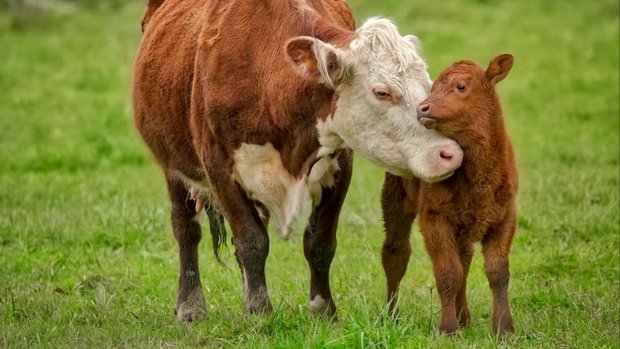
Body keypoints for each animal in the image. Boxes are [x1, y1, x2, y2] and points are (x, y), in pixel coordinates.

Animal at [133, 0, 462, 320]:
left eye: (427, 85)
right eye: (382, 92)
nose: (450, 153)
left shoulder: (340, 165)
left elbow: (319, 241)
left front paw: (322, 309)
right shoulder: (219, 167)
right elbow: (251, 240)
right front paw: (259, 312)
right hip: (173, 166)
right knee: (186, 228)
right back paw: (191, 306)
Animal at [378, 54, 520, 334]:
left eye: (461, 86)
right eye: (432, 88)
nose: (422, 108)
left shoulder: (505, 216)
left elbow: (497, 272)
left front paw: (504, 328)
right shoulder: (434, 217)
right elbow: (447, 272)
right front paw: (447, 328)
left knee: (464, 261)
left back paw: (464, 316)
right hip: (395, 199)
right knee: (396, 254)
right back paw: (391, 317)